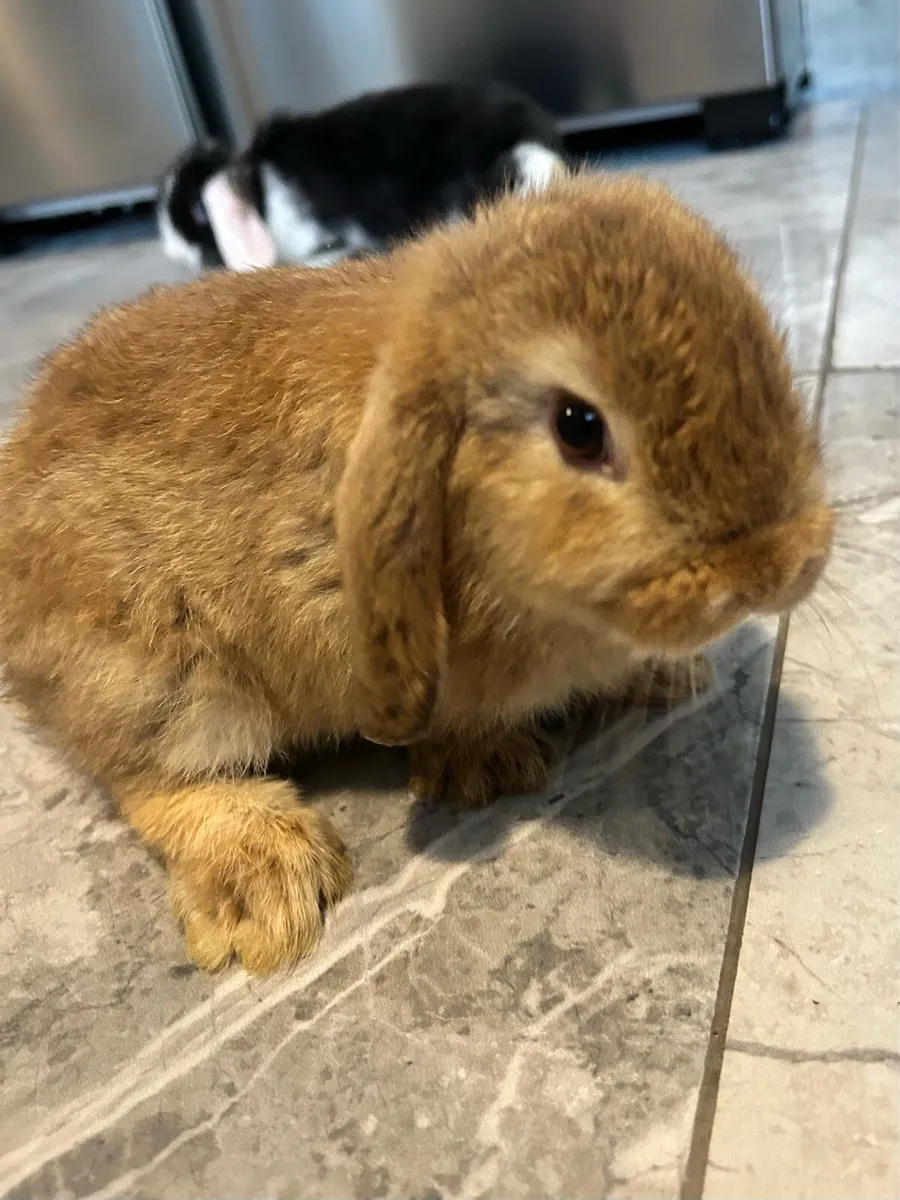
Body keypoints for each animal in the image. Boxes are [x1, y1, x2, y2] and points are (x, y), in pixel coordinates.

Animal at [0, 171, 834, 975]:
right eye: (579, 427)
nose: (777, 568)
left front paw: (661, 681)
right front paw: (488, 767)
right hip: (162, 673)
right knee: (150, 780)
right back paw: (267, 884)